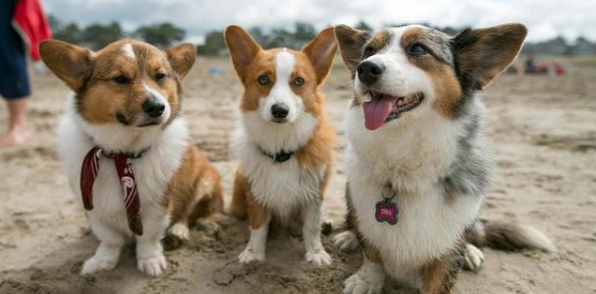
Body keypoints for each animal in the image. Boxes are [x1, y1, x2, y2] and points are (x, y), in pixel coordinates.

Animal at [39, 38, 224, 276]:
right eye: (120, 79)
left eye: (160, 76)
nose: (157, 107)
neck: (121, 153)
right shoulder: (94, 206)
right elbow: (109, 239)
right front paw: (102, 261)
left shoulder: (158, 204)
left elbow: (148, 237)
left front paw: (150, 260)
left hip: (205, 181)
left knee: (191, 214)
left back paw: (179, 231)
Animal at [224, 25, 338, 266]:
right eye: (263, 79)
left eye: (299, 81)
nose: (279, 111)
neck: (281, 147)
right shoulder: (257, 193)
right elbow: (258, 225)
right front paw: (253, 253)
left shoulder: (314, 195)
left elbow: (311, 227)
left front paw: (315, 253)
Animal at [332, 23, 556, 294]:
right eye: (368, 51)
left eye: (419, 49)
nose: (365, 68)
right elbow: (372, 251)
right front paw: (367, 280)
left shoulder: (448, 248)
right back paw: (348, 236)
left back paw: (471, 252)